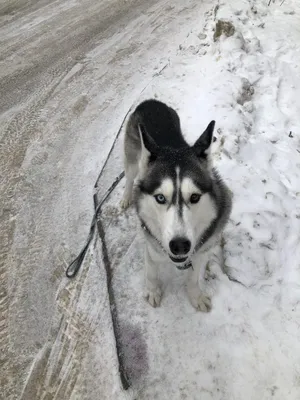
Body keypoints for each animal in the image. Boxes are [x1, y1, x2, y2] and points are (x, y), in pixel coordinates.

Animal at [120, 100, 232, 312]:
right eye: (160, 198)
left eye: (195, 197)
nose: (180, 245)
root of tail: (150, 101)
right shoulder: (151, 244)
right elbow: (151, 272)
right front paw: (153, 291)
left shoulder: (202, 249)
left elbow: (194, 278)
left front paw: (196, 296)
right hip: (132, 160)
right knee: (130, 177)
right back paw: (125, 197)